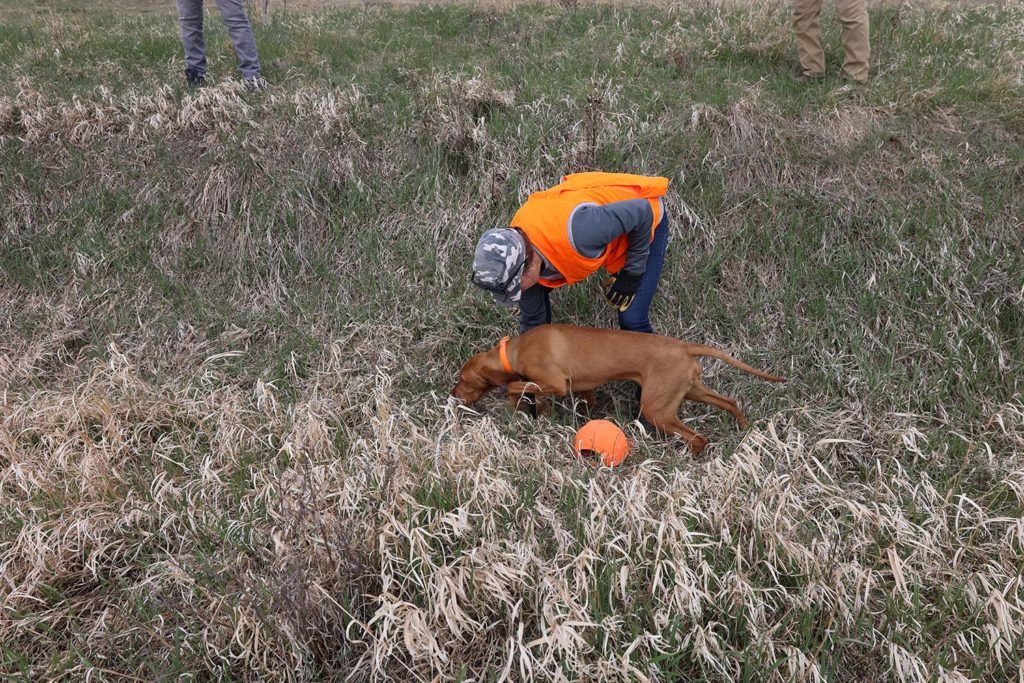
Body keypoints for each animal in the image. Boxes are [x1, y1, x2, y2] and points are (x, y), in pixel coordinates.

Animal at [448, 325, 782, 454]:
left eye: (462, 379)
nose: (452, 396)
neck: (515, 349)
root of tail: (683, 347)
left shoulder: (557, 383)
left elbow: (515, 385)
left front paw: (516, 400)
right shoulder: (582, 387)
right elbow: (584, 399)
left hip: (656, 408)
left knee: (698, 437)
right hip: (689, 390)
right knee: (730, 401)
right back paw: (743, 426)